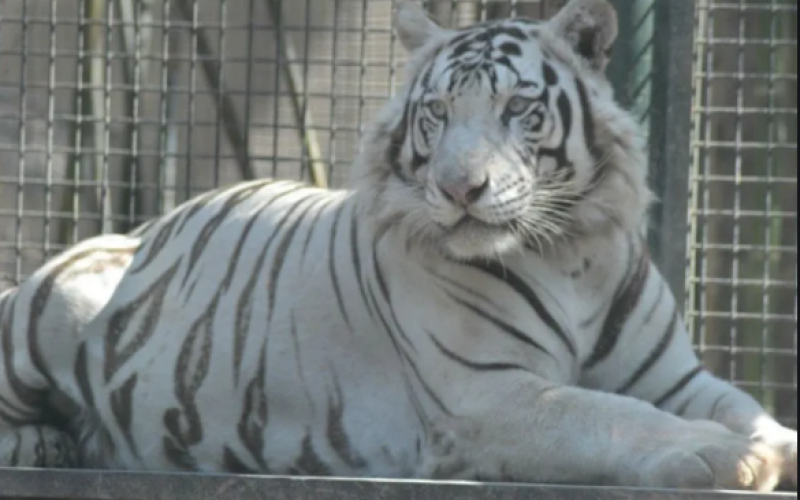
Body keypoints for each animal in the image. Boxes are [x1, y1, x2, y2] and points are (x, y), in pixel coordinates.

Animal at [0, 0, 792, 492]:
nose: (459, 188)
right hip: (47, 307)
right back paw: (43, 443)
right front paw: (723, 455)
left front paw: (768, 443)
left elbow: (745, 408)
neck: (572, 256)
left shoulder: (678, 379)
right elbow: (609, 415)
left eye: (518, 107)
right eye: (436, 112)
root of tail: (140, 229)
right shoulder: (485, 394)